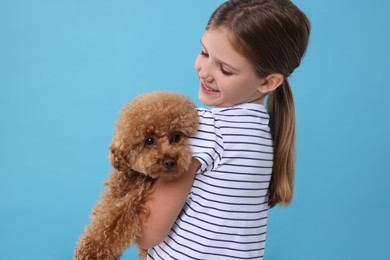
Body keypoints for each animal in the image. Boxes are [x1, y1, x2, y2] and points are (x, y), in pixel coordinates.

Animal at [75, 92, 200, 260]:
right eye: (149, 140)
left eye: (176, 137)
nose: (169, 161)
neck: (136, 177)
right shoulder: (114, 193)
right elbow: (101, 217)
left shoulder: (136, 199)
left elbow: (112, 222)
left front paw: (92, 252)